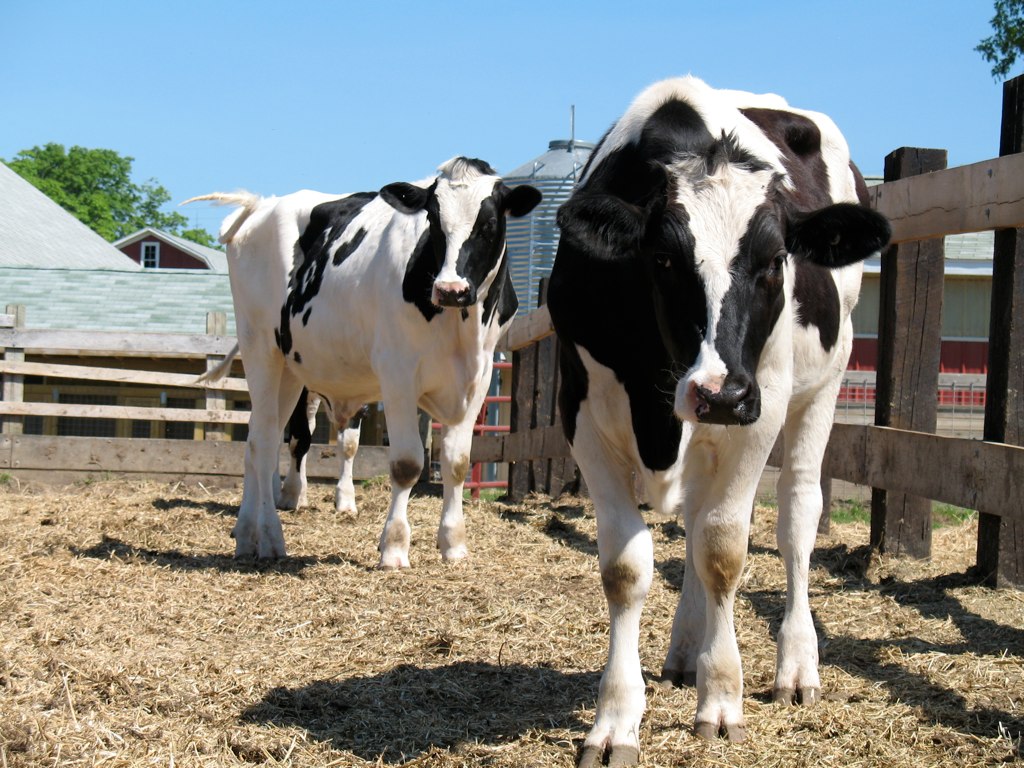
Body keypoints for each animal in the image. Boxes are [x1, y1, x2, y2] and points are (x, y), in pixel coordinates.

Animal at [185, 157, 540, 565]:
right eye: (433, 219)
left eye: (490, 222)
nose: (450, 290)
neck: (459, 326)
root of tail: (263, 204)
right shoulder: (398, 374)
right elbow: (407, 464)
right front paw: (395, 547)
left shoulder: (478, 376)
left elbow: (456, 462)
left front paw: (454, 544)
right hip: (259, 346)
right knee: (262, 442)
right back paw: (271, 537)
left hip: (289, 368)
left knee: (259, 440)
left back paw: (246, 533)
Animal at [547, 76, 890, 766]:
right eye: (662, 259)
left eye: (776, 259)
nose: (722, 393)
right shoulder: (581, 414)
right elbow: (627, 567)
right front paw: (616, 720)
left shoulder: (761, 409)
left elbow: (725, 551)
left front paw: (723, 700)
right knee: (694, 523)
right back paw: (685, 651)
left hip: (823, 385)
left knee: (793, 517)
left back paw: (796, 666)